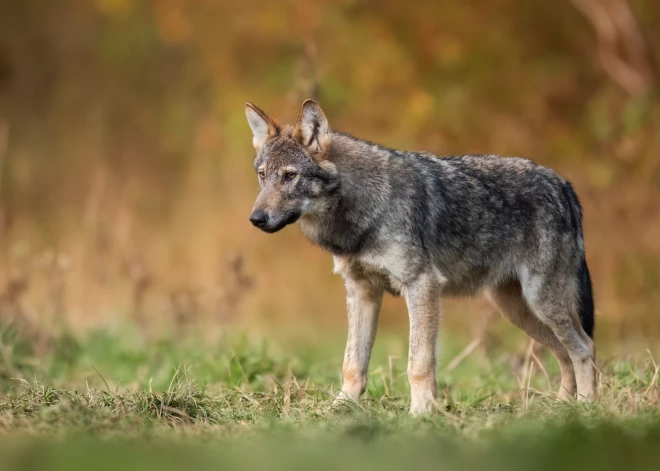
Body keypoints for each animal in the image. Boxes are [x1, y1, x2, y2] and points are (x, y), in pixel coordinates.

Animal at [245, 99, 596, 416]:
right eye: (262, 175)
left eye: (289, 176)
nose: (256, 218)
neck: (365, 210)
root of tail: (563, 184)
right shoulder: (361, 291)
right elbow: (352, 363)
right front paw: (339, 408)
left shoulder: (422, 286)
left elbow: (419, 363)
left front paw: (421, 414)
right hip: (518, 311)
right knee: (566, 353)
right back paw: (561, 407)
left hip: (541, 303)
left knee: (584, 348)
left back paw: (585, 407)